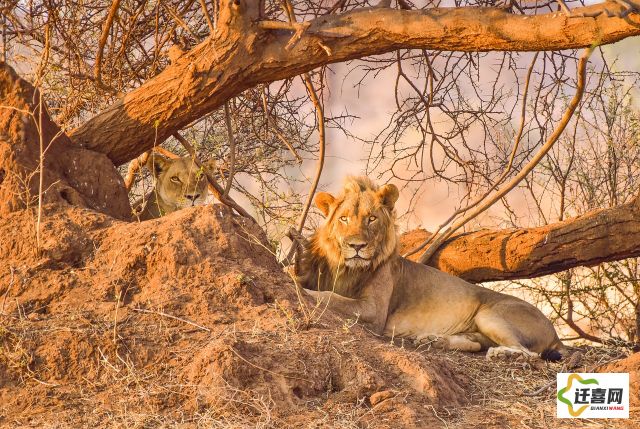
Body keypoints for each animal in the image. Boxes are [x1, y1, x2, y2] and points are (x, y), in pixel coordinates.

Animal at [296, 176, 564, 360]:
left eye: (371, 219)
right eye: (343, 219)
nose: (357, 246)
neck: (348, 269)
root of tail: (554, 332)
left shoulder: (374, 311)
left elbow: (331, 297)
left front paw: (303, 292)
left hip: (490, 314)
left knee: (529, 354)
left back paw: (502, 354)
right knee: (477, 343)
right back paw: (434, 341)